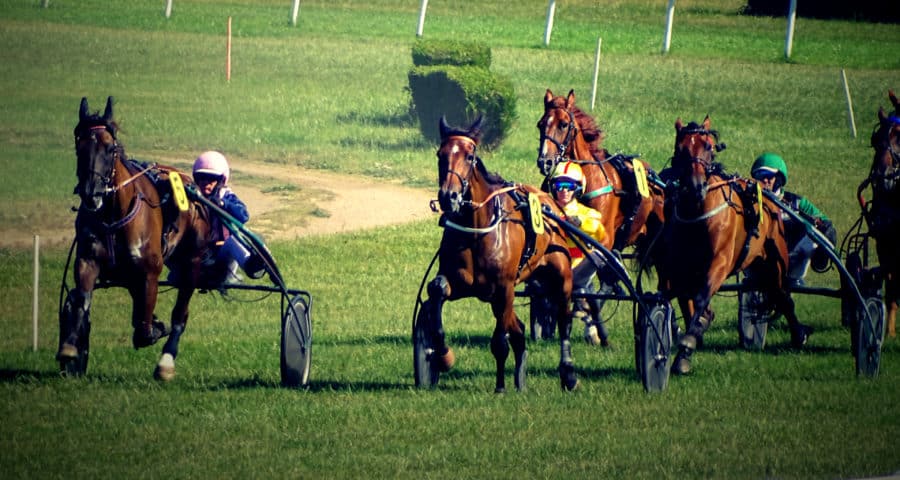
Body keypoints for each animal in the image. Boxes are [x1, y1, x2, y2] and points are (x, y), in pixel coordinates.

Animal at [59, 97, 211, 380]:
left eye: (110, 148)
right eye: (79, 146)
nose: (91, 193)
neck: (112, 216)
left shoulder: (149, 271)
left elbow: (143, 328)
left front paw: (156, 329)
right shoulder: (88, 259)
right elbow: (81, 299)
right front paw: (71, 347)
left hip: (192, 262)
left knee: (180, 314)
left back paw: (166, 360)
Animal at [420, 114, 576, 392]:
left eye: (470, 156)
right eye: (440, 154)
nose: (449, 196)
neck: (477, 230)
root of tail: (549, 200)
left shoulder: (504, 287)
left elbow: (499, 343)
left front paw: (500, 386)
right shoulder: (464, 283)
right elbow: (436, 291)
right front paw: (443, 356)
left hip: (560, 275)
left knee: (563, 318)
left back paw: (567, 373)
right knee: (519, 329)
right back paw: (521, 378)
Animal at [660, 116, 816, 376]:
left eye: (709, 147)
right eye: (680, 149)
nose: (695, 187)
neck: (698, 214)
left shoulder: (719, 262)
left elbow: (701, 302)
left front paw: (688, 344)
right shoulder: (681, 267)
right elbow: (688, 303)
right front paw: (686, 349)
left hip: (774, 261)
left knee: (783, 296)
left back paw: (799, 335)